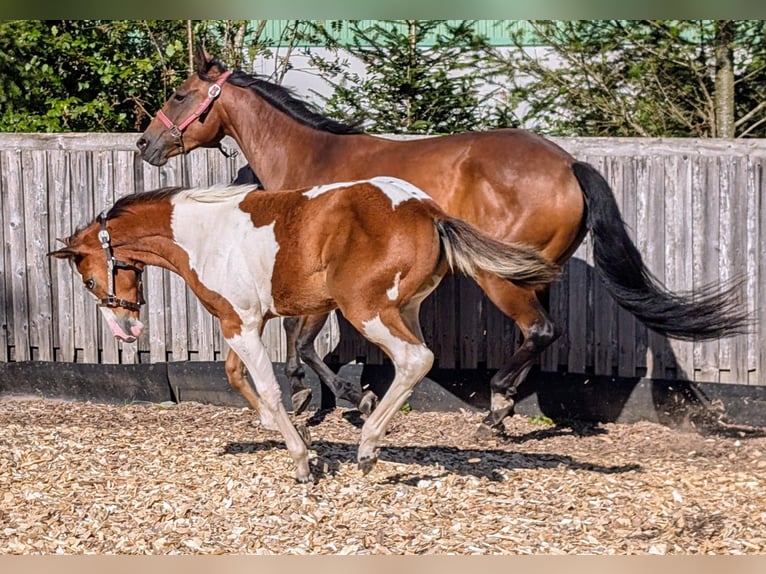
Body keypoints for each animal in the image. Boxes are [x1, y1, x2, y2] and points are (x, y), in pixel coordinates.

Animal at [51, 177, 560, 482]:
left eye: (89, 280)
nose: (126, 329)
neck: (203, 236)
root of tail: (427, 211)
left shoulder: (241, 322)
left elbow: (269, 387)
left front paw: (303, 460)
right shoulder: (242, 321)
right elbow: (236, 376)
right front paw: (296, 434)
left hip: (366, 309)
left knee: (416, 359)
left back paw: (368, 447)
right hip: (404, 308)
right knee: (411, 363)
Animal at [136, 48, 752, 428]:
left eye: (179, 96)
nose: (145, 144)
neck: (313, 159)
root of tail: (568, 163)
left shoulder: (323, 284)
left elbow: (303, 342)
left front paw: (338, 399)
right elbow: (305, 342)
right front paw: (335, 397)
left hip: (499, 277)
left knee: (538, 331)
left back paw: (496, 406)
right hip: (535, 276)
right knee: (544, 335)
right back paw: (504, 405)